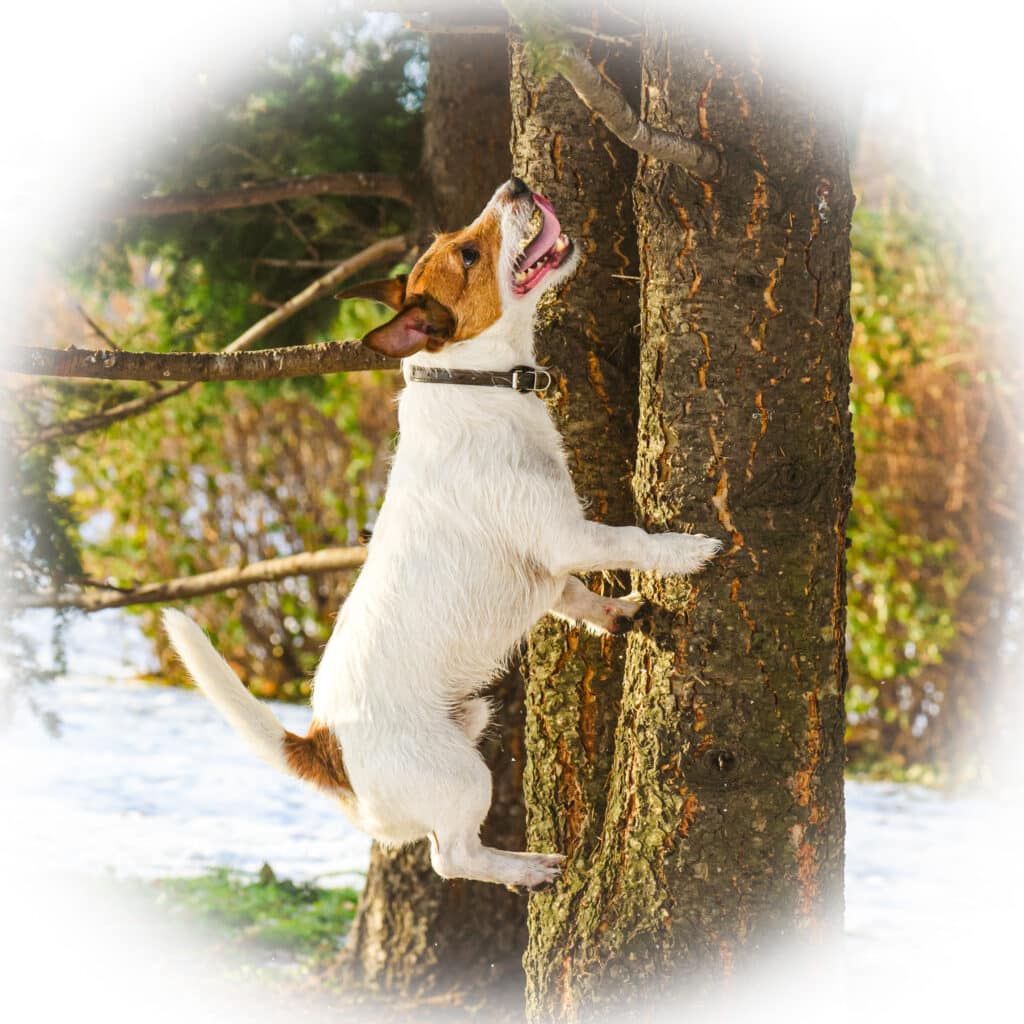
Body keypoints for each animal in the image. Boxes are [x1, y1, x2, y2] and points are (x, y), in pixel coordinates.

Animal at [161, 178, 720, 888]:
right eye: (470, 255)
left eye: (457, 239)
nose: (515, 183)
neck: (474, 383)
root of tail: (320, 745)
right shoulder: (566, 534)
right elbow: (631, 540)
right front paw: (689, 552)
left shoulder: (548, 564)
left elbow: (573, 596)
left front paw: (616, 613)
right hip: (462, 776)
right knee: (449, 856)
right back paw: (527, 869)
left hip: (474, 718)